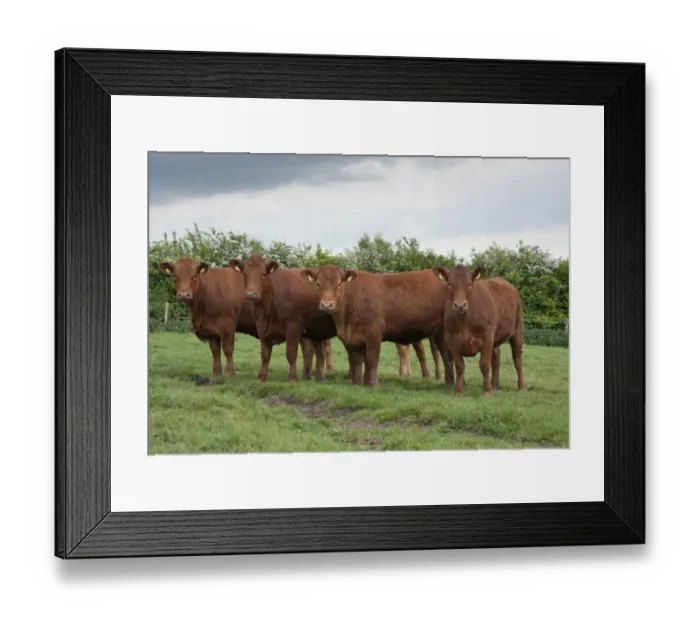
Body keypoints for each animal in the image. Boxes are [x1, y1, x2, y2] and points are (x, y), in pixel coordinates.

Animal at [158, 256, 322, 380]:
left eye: (194, 276)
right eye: (175, 276)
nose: (184, 294)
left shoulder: (227, 324)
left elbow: (228, 349)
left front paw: (229, 374)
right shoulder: (211, 330)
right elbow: (215, 352)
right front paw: (216, 374)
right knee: (308, 350)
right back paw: (307, 376)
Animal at [228, 253, 337, 382]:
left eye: (263, 274)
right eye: (245, 274)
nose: (251, 293)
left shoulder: (293, 327)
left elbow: (291, 353)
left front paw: (292, 378)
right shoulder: (261, 327)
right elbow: (265, 355)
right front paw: (262, 377)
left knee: (325, 349)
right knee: (313, 350)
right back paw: (310, 376)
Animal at [299, 266, 455, 388]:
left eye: (338, 284)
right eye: (318, 284)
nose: (326, 305)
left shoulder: (373, 335)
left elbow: (372, 360)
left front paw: (374, 385)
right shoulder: (351, 339)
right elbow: (356, 361)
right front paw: (357, 384)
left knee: (443, 354)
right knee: (444, 355)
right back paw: (448, 382)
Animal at [433, 264, 527, 397]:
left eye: (469, 284)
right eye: (450, 284)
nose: (460, 305)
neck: (464, 322)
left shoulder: (487, 337)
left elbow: (484, 365)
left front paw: (487, 391)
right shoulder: (452, 340)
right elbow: (459, 367)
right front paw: (459, 392)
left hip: (517, 328)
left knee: (517, 358)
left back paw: (521, 386)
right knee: (496, 356)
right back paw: (495, 385)